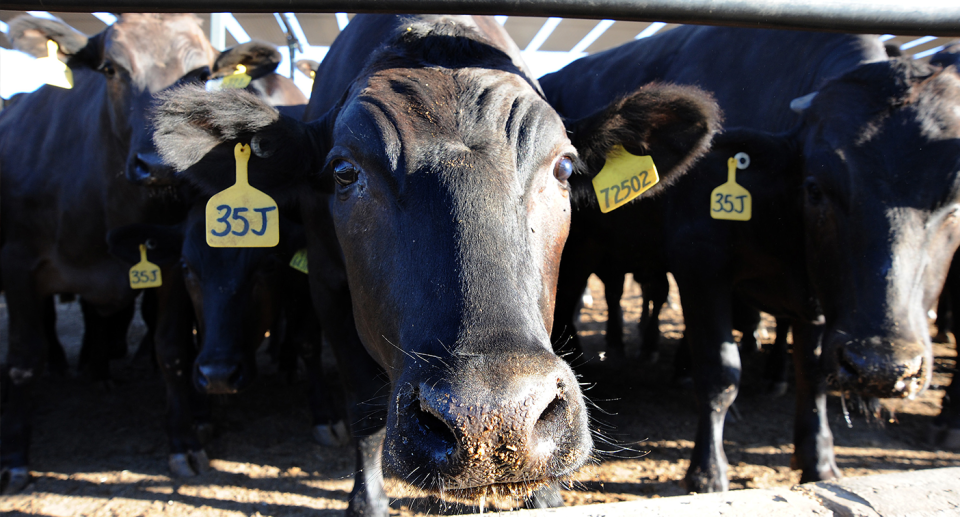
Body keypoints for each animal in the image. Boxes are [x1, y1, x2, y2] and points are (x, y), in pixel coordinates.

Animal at [0, 14, 217, 494]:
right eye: (111, 70)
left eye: (203, 73)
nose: (159, 163)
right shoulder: (17, 265)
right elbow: (23, 360)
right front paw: (15, 459)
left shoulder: (171, 267)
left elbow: (172, 350)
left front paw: (184, 442)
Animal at [152, 14, 720, 512]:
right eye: (343, 172)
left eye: (563, 167)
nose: (495, 420)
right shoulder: (326, 289)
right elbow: (361, 409)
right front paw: (367, 502)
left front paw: (544, 496)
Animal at [540, 27, 960, 492]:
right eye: (816, 187)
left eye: (956, 201)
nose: (882, 368)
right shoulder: (700, 265)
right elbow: (721, 373)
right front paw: (708, 472)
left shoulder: (820, 296)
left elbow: (813, 374)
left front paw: (818, 460)